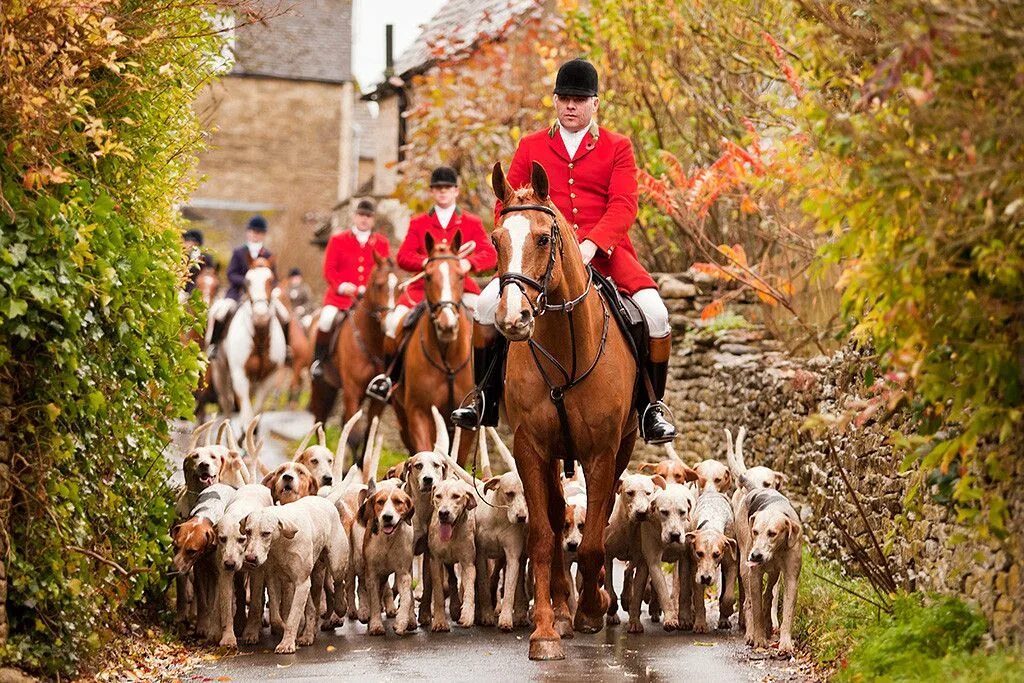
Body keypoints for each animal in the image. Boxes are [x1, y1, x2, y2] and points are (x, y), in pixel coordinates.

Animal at [209, 266, 286, 430]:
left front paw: (252, 430)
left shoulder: (268, 378)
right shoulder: (239, 374)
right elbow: (245, 411)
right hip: (220, 372)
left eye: (271, 280)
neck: (260, 338)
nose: (261, 316)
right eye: (247, 281)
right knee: (226, 402)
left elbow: (256, 409)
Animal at [307, 252, 395, 458]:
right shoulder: (352, 389)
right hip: (320, 386)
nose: (389, 323)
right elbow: (355, 436)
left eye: (398, 285)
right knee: (320, 420)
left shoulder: (378, 398)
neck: (371, 341)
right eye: (378, 284)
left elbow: (368, 435)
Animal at [389, 235, 473, 464]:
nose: (447, 325)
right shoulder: (419, 413)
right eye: (427, 276)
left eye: (460, 275)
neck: (447, 356)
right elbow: (424, 452)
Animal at [489, 162, 638, 659]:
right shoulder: (530, 448)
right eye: (496, 239)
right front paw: (546, 629)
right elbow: (542, 535)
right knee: (554, 517)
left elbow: (591, 541)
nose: (512, 319)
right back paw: (558, 607)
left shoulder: (601, 453)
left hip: (622, 448)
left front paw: (593, 608)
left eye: (541, 238)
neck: (563, 349)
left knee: (599, 511)